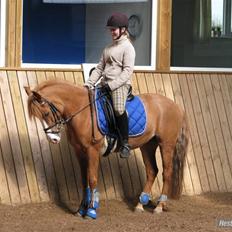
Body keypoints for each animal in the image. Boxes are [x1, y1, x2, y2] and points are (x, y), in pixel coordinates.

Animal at [24, 79, 189, 218]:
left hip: (166, 144)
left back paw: (159, 206)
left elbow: (92, 179)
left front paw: (91, 211)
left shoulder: (92, 150)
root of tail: (175, 105)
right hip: (148, 145)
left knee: (167, 172)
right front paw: (81, 209)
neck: (81, 110)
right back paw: (140, 205)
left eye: (46, 113)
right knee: (152, 171)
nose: (53, 139)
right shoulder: (79, 152)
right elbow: (83, 180)